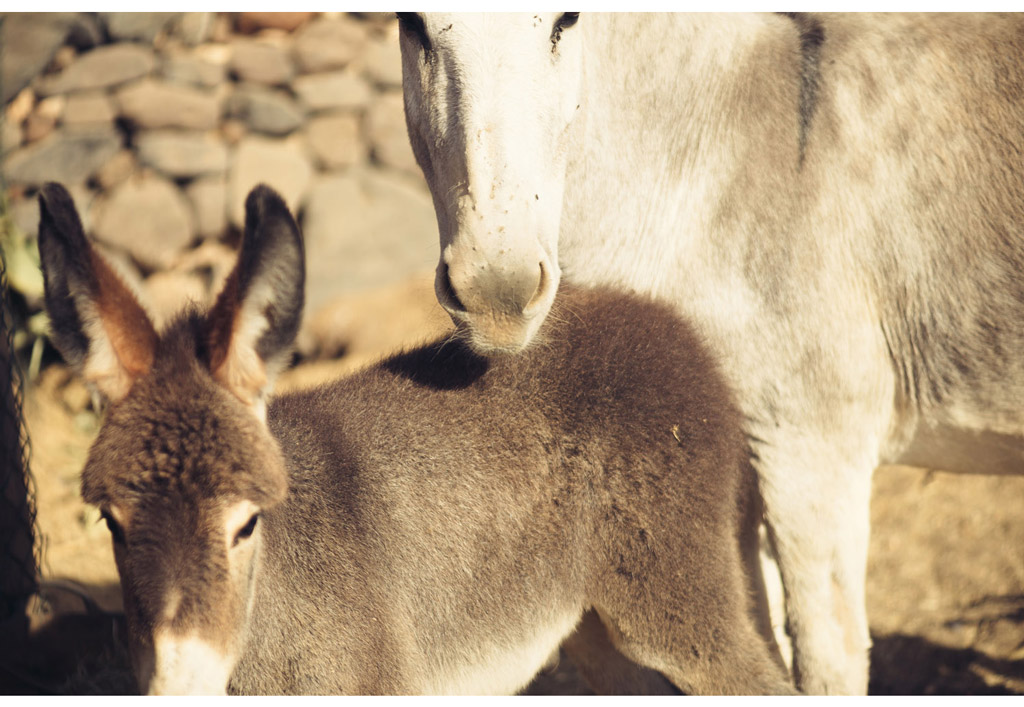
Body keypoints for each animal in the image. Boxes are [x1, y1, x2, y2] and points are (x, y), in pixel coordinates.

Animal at [37, 181, 790, 692]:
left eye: (246, 524)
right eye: (112, 524)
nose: (181, 686)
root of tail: (672, 326)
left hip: (674, 605)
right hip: (593, 627)